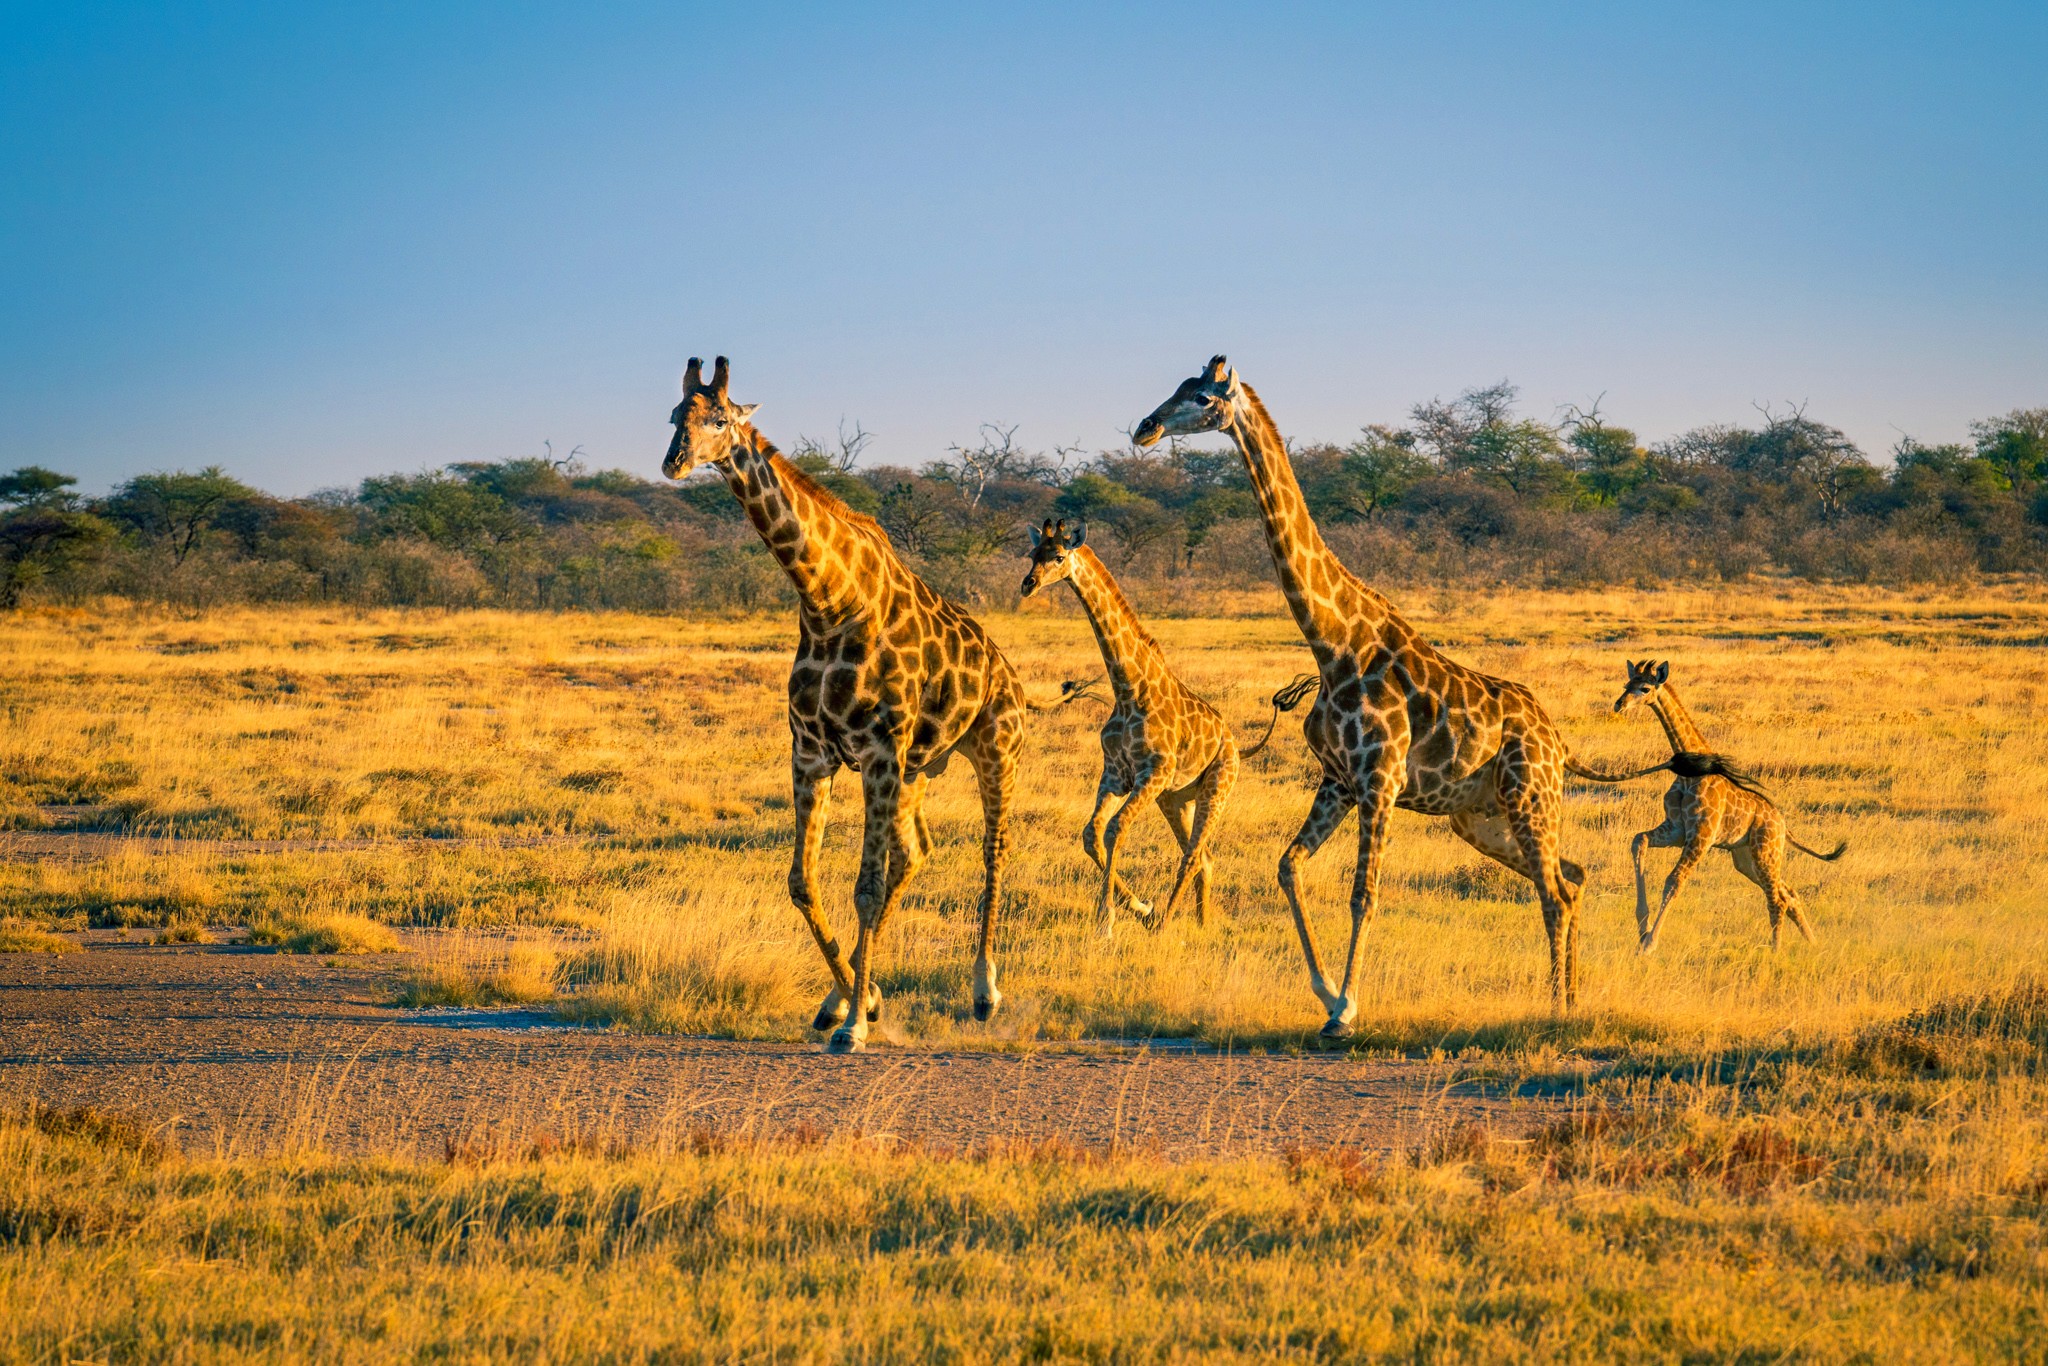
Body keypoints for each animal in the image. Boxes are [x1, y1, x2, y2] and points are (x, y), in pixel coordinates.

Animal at [663, 358, 1040, 1056]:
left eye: (720, 419)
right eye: (676, 415)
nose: (674, 461)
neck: (827, 602)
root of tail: (1007, 671)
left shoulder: (877, 752)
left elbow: (864, 888)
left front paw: (856, 1027)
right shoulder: (815, 753)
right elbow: (802, 881)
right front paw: (851, 1000)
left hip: (996, 751)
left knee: (992, 851)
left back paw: (985, 991)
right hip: (918, 769)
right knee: (916, 852)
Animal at [1015, 518, 1302, 933]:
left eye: (1058, 557)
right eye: (1032, 554)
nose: (1028, 584)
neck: (1128, 687)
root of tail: (1238, 746)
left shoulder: (1152, 772)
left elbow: (1116, 829)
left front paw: (1108, 918)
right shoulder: (1116, 774)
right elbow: (1091, 834)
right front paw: (1137, 906)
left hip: (1217, 789)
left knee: (1193, 855)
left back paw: (1166, 921)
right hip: (1175, 799)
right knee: (1204, 858)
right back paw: (1199, 923)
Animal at [1138, 358, 1630, 1032]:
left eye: (1204, 398)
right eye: (1176, 389)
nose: (1145, 427)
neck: (1333, 640)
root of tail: (1558, 741)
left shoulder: (1381, 780)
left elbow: (1363, 894)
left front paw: (1345, 1010)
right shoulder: (1339, 780)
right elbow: (1288, 866)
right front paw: (1325, 993)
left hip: (1529, 796)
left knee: (1554, 891)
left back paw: (1556, 1009)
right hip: (1478, 817)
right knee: (1570, 877)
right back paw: (1571, 998)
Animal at [1613, 659, 1859, 950]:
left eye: (1646, 688)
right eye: (1626, 684)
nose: (1618, 704)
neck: (1690, 772)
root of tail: (1783, 826)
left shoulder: (1702, 836)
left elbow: (1674, 880)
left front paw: (1649, 943)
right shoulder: (1676, 829)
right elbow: (1638, 840)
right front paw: (1642, 927)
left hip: (1765, 851)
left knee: (1777, 899)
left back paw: (1775, 951)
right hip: (1745, 857)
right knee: (1788, 893)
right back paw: (1811, 944)